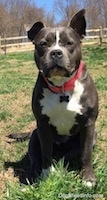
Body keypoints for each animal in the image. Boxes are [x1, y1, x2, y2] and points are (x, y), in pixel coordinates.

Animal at [27, 9, 98, 188]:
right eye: (43, 44)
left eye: (69, 43)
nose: (56, 52)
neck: (62, 87)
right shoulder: (43, 125)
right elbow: (45, 152)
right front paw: (46, 174)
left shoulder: (88, 123)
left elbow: (86, 153)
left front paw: (88, 178)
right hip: (34, 136)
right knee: (36, 159)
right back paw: (33, 178)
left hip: (91, 135)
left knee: (69, 156)